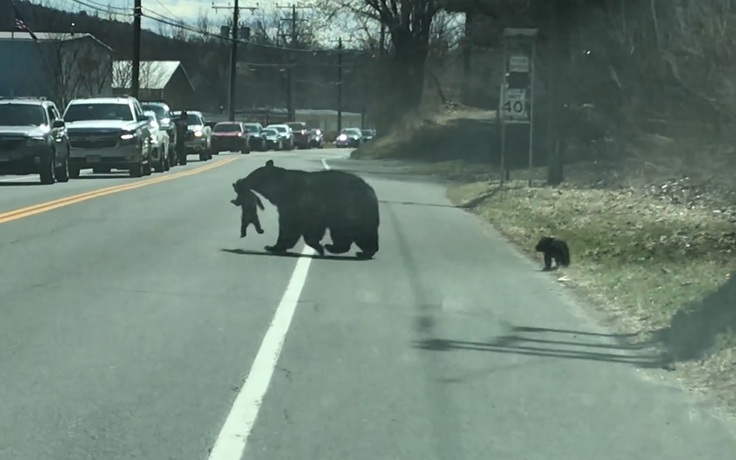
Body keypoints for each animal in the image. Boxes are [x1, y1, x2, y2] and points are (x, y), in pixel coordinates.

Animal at [233, 159, 382, 258]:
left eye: (252, 175)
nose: (239, 182)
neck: (282, 190)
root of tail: (372, 192)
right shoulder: (288, 206)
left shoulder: (301, 204)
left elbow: (294, 227)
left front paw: (272, 247)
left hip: (351, 211)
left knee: (355, 233)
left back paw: (344, 249)